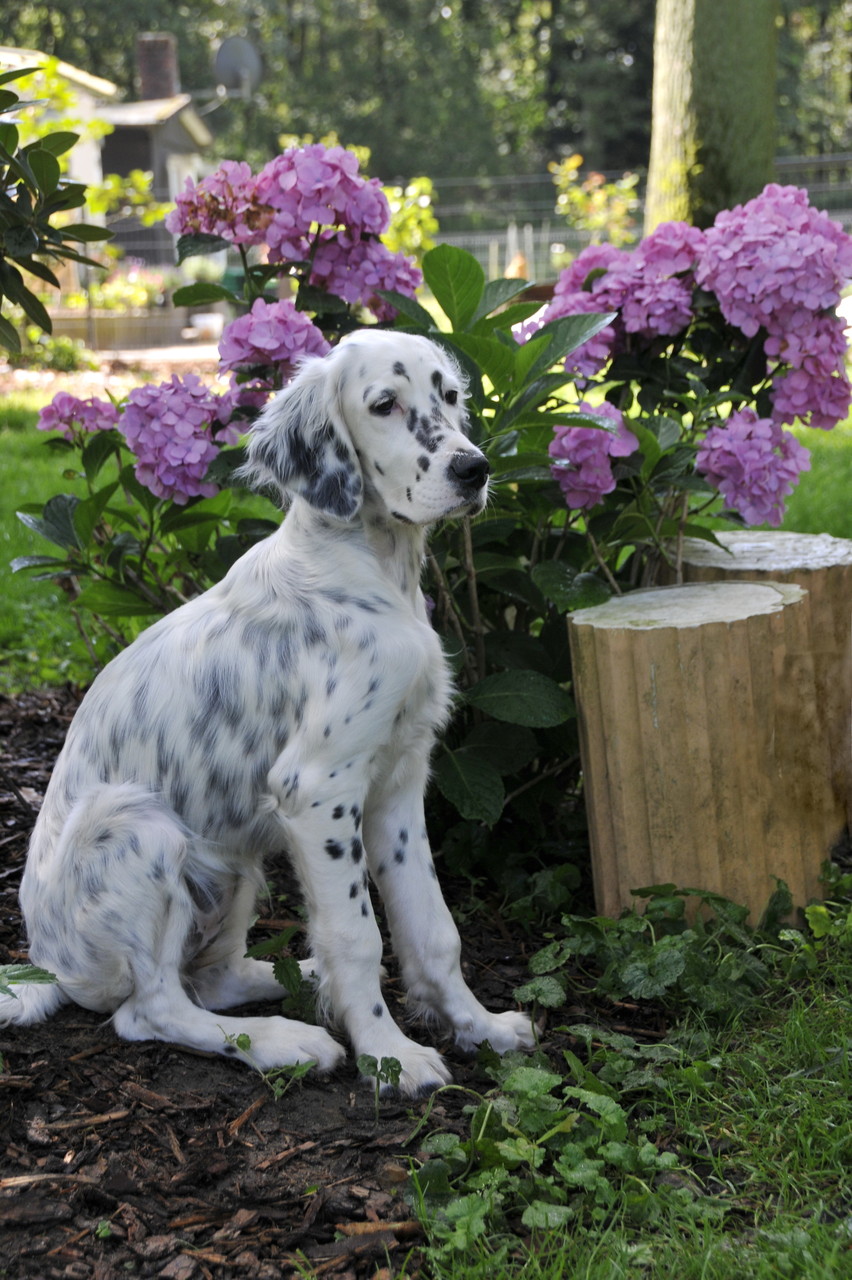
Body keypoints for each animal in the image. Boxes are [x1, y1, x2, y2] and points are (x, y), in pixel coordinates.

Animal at [0, 327, 532, 1090]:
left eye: (452, 397)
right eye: (385, 404)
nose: (474, 469)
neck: (374, 568)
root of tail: (47, 965)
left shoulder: (400, 782)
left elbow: (433, 928)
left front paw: (477, 1027)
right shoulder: (317, 790)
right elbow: (359, 934)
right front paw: (390, 1057)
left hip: (232, 861)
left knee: (210, 978)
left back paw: (297, 980)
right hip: (142, 828)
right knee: (151, 1010)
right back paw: (290, 1043)